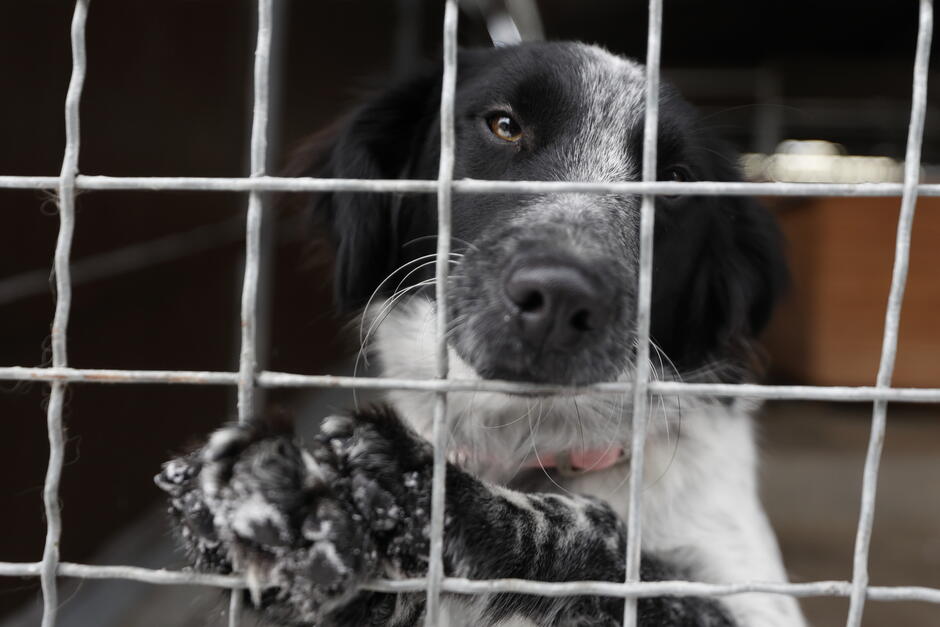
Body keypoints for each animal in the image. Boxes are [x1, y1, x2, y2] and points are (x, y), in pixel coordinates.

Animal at [158, 41, 804, 624]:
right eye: (504, 125)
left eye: (673, 181)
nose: (561, 296)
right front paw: (280, 504)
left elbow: (605, 537)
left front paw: (417, 490)